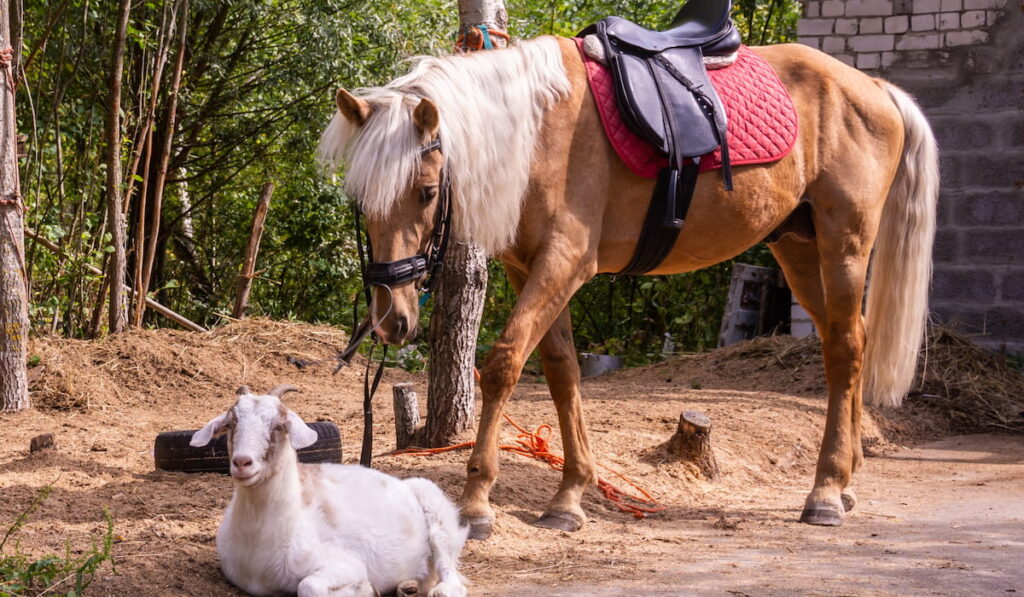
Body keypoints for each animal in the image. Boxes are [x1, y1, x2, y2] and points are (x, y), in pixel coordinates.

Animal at [192, 385, 471, 597]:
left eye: (279, 425)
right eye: (231, 423)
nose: (242, 463)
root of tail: (403, 483)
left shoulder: (345, 564)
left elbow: (308, 586)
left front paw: (365, 589)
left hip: (439, 517)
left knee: (449, 574)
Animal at [317, 36, 937, 540]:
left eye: (426, 192)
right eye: (361, 199)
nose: (391, 319)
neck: (537, 133)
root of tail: (874, 88)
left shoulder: (565, 262)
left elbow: (504, 363)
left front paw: (475, 503)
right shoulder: (531, 268)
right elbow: (562, 370)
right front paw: (569, 496)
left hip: (845, 245)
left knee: (846, 349)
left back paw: (826, 491)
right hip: (799, 249)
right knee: (844, 340)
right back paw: (846, 481)